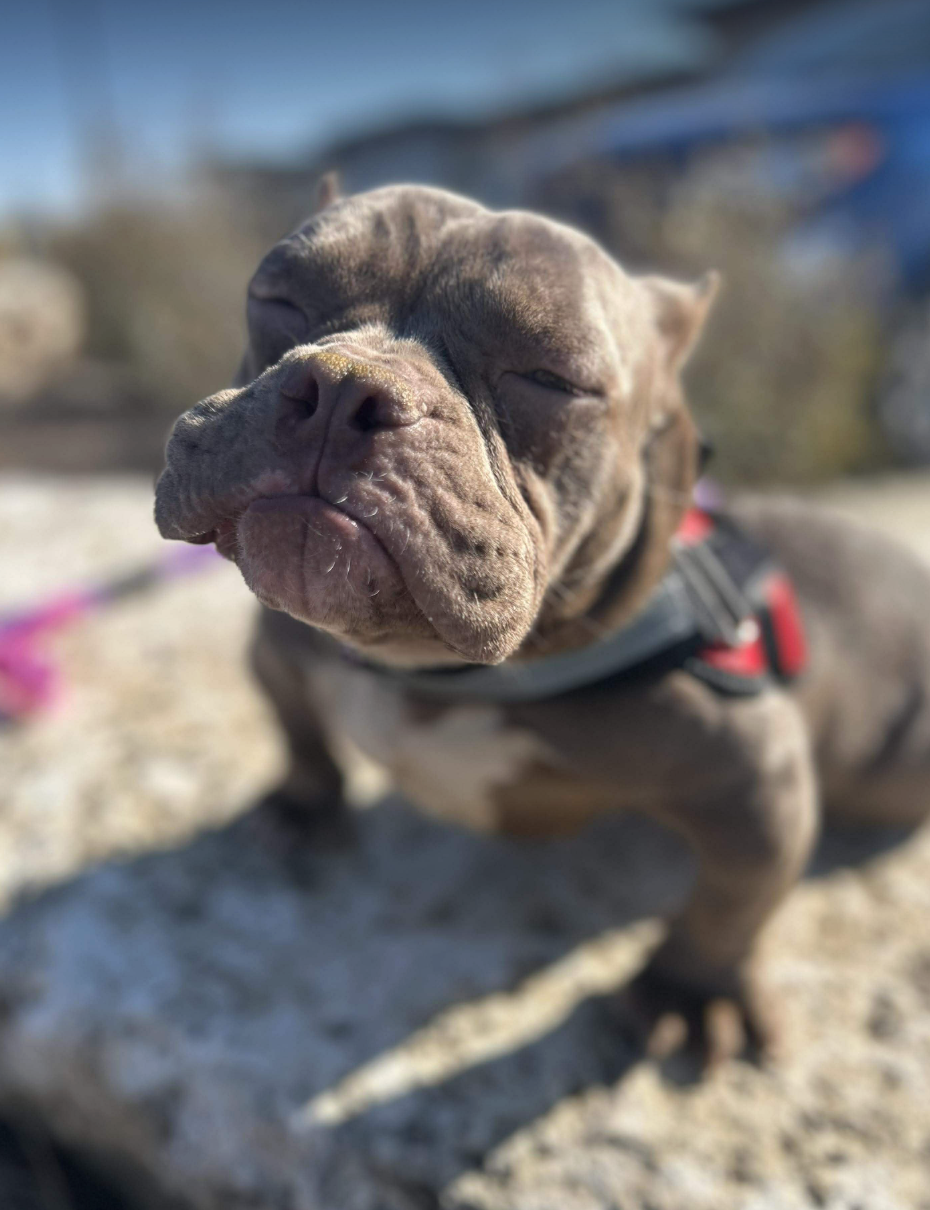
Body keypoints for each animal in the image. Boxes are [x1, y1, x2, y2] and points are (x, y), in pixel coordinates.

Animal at [155, 183, 930, 1066]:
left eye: (549, 379)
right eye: (276, 298)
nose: (342, 386)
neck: (435, 672)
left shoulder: (755, 783)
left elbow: (731, 904)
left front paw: (689, 988)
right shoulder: (283, 646)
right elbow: (297, 728)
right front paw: (301, 804)